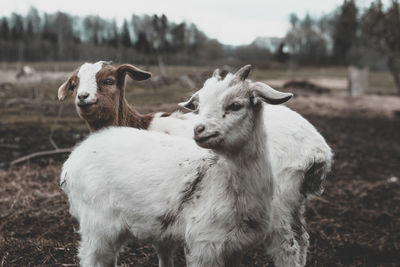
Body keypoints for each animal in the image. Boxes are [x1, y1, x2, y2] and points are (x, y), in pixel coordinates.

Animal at [61, 65, 292, 267]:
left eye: (236, 105)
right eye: (199, 106)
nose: (198, 130)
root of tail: (75, 156)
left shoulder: (236, 248)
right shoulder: (203, 245)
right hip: (97, 227)